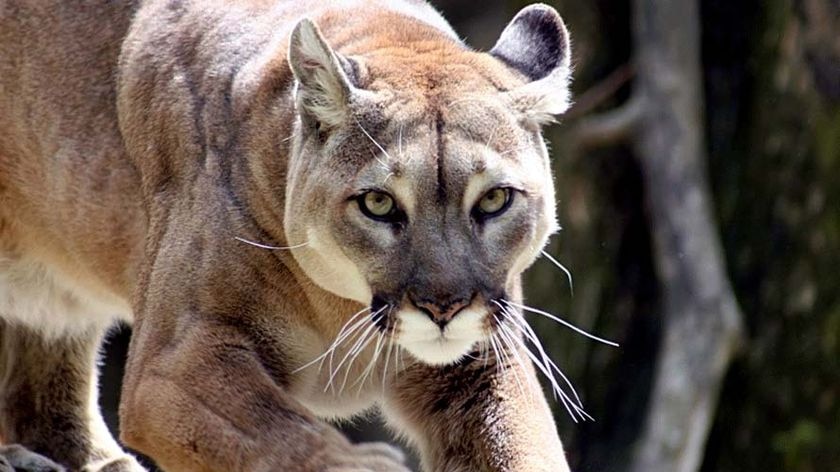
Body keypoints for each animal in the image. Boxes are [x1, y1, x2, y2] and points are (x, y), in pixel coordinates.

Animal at [0, 0, 576, 470]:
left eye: (494, 199)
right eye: (378, 203)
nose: (444, 308)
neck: (340, 305)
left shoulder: (484, 362)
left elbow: (520, 448)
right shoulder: (173, 361)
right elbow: (275, 433)